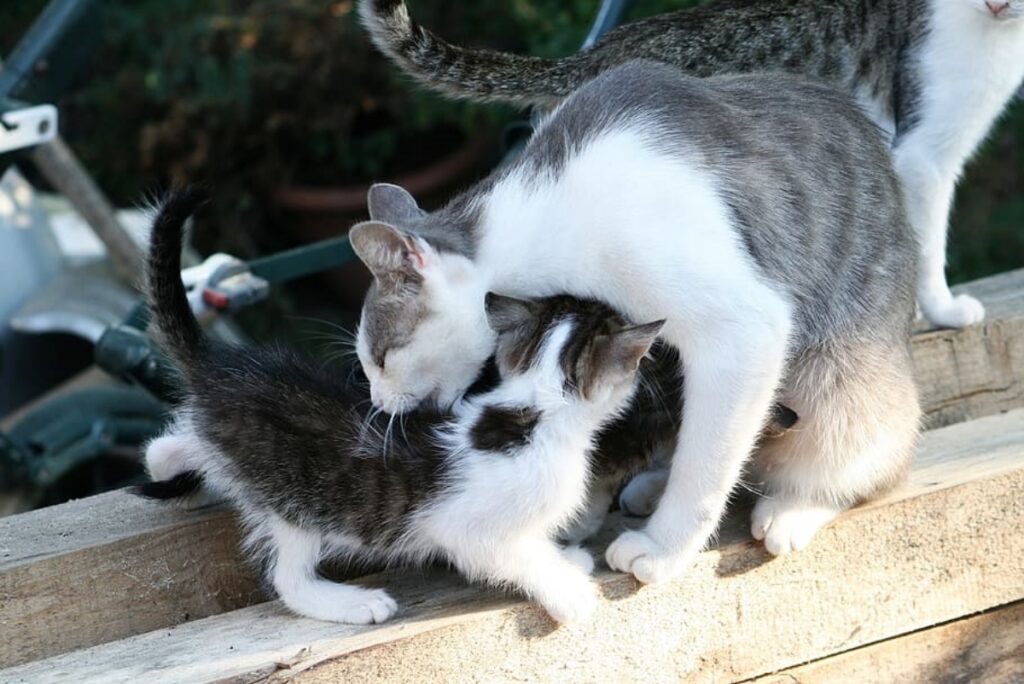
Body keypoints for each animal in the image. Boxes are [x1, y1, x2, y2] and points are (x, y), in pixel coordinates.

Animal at [140, 189, 667, 622]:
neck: (535, 411)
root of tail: (219, 369)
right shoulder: (461, 528)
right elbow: (517, 556)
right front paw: (570, 593)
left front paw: (566, 559)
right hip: (295, 496)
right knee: (286, 577)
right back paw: (350, 603)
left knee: (164, 447)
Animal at [348, 62, 925, 581]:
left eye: (381, 357)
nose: (376, 402)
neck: (545, 219)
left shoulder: (741, 330)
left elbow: (706, 464)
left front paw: (664, 551)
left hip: (840, 378)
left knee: (872, 458)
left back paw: (793, 508)